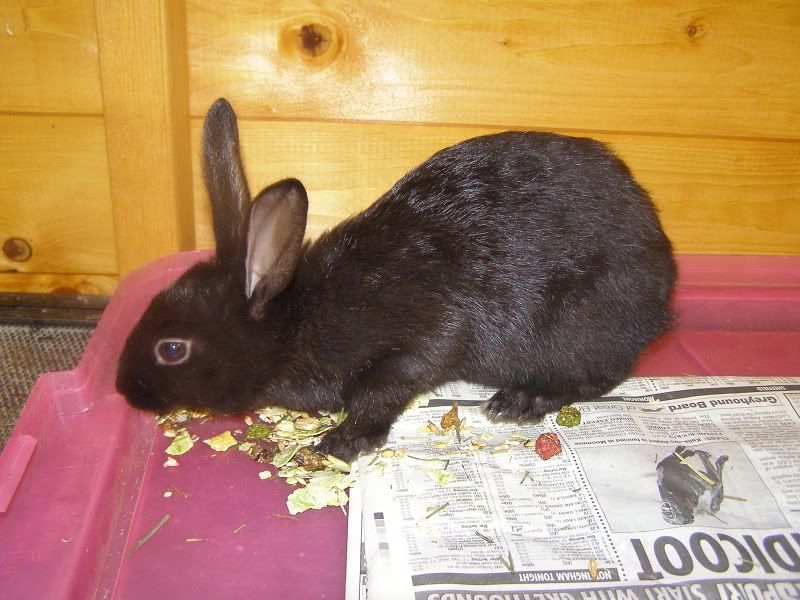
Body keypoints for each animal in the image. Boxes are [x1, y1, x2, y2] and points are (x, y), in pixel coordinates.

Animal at [114, 99, 676, 464]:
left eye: (172, 350)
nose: (124, 391)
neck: (295, 322)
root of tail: (663, 282)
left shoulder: (425, 334)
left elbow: (388, 386)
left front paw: (342, 442)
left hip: (580, 325)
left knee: (598, 376)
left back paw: (521, 401)